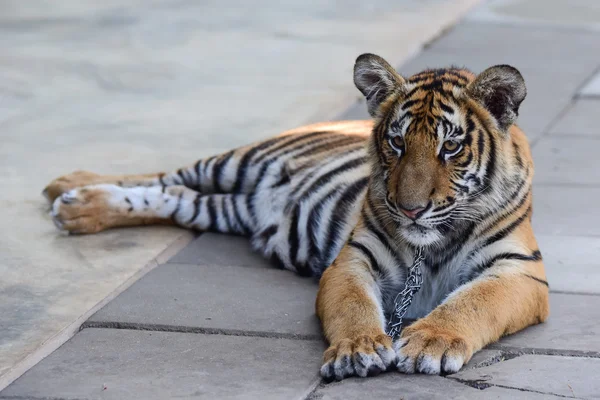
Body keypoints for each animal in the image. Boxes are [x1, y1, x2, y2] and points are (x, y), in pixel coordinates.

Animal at [42, 53, 548, 382]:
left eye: (451, 147)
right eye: (397, 142)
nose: (410, 208)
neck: (434, 243)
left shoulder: (520, 273)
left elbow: (472, 302)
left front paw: (431, 341)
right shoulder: (353, 259)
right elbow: (353, 306)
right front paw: (358, 349)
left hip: (223, 206)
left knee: (172, 196)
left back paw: (76, 206)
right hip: (234, 161)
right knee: (164, 175)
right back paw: (69, 189)